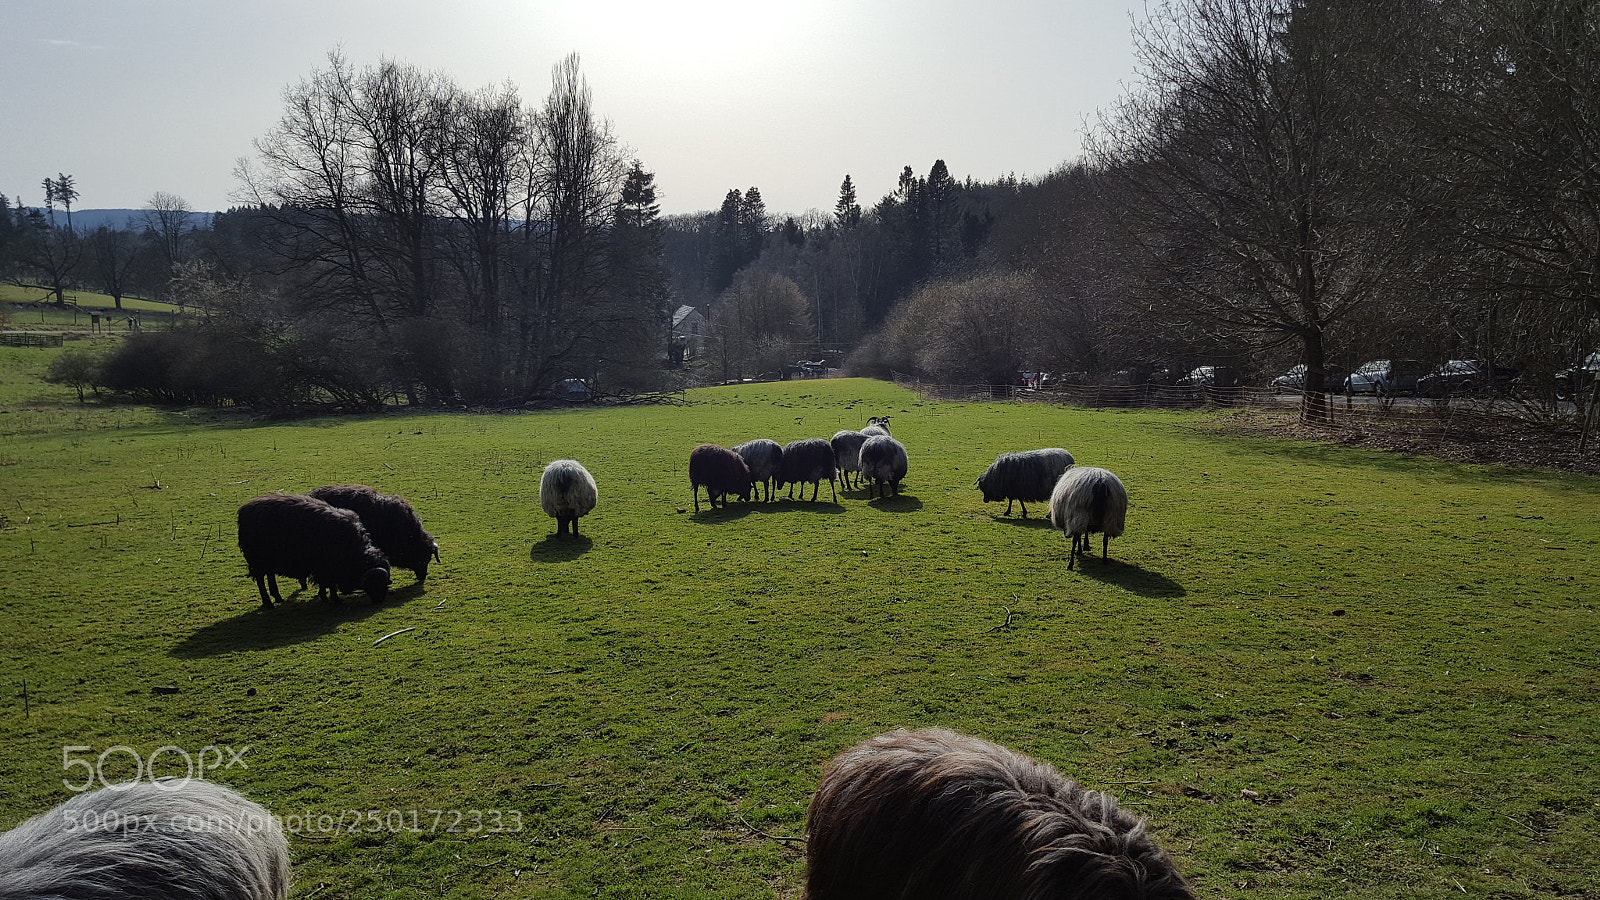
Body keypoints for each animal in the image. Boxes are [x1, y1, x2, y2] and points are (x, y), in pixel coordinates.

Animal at [237, 494, 390, 607]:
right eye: (375, 584)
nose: (379, 601)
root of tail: (244, 510)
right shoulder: (325, 567)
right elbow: (329, 584)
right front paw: (334, 599)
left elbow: (325, 584)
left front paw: (325, 597)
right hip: (258, 562)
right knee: (261, 581)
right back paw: (268, 603)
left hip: (268, 562)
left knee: (270, 576)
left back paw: (278, 598)